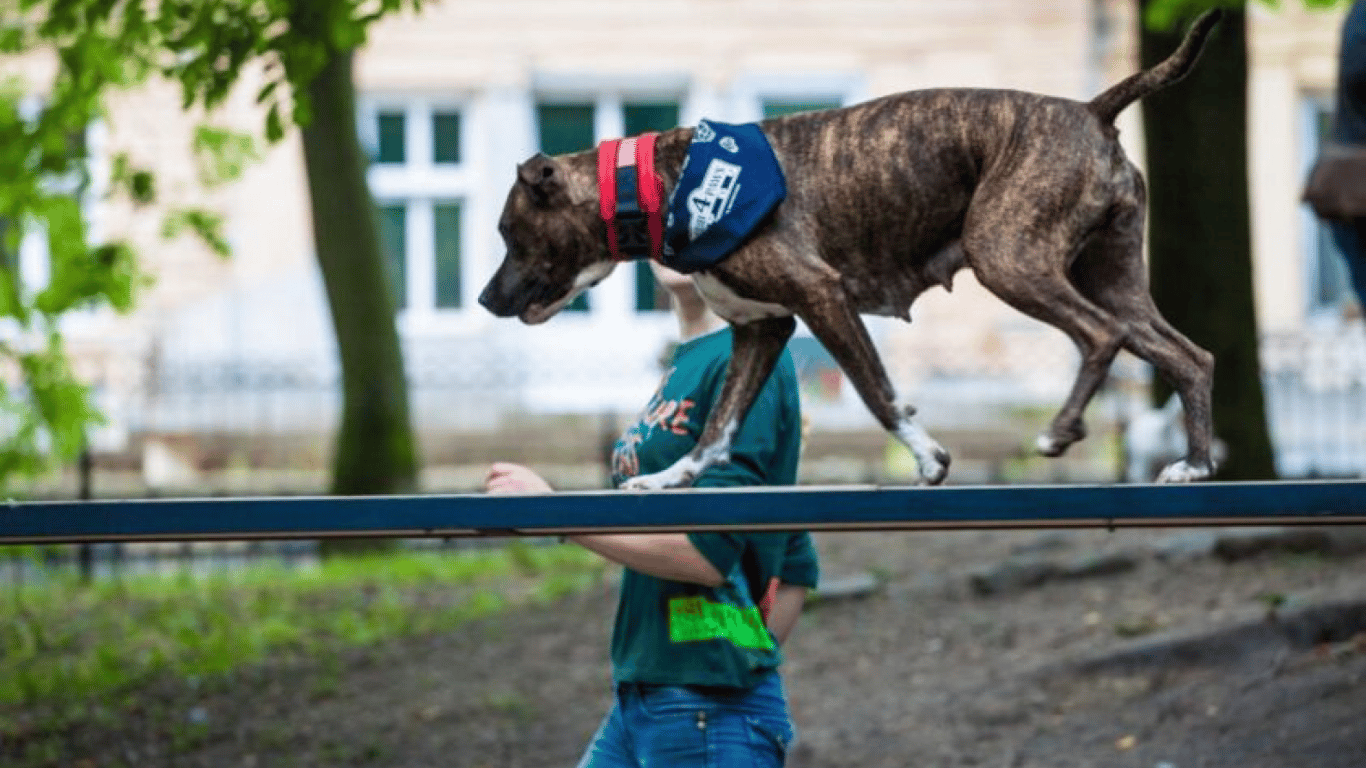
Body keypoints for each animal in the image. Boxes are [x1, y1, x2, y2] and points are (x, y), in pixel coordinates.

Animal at [486, 11, 1223, 486]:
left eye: (508, 234)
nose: (486, 298)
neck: (662, 182)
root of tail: (1092, 109)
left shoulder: (823, 298)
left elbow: (878, 393)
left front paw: (929, 457)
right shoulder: (764, 328)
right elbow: (719, 426)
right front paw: (672, 479)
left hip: (1009, 258)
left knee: (1100, 337)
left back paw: (1060, 430)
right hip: (1112, 280)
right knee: (1189, 357)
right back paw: (1192, 463)